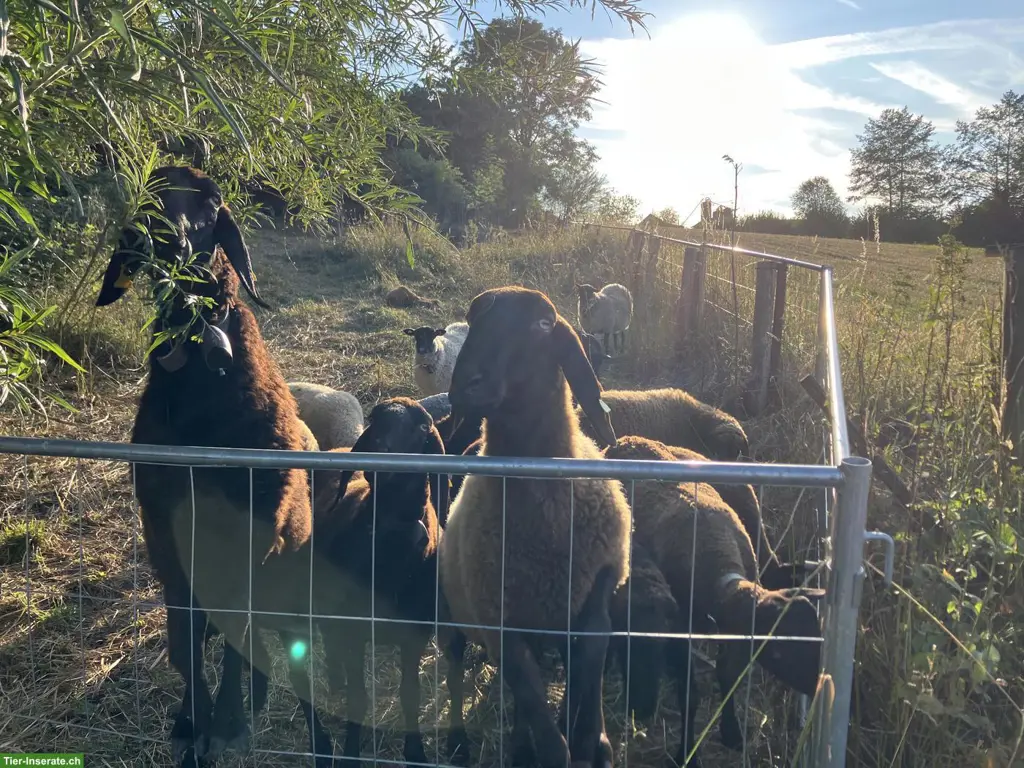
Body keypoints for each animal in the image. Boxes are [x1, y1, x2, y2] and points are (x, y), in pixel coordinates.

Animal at [95, 165, 333, 766]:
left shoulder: (252, 535)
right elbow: (185, 643)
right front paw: (192, 725)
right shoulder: (165, 533)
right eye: (148, 195)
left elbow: (232, 642)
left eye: (212, 204)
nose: (168, 242)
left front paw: (224, 722)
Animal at [310, 397, 448, 766]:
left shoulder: (415, 634)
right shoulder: (355, 629)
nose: (376, 448)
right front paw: (351, 754)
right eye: (374, 418)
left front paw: (416, 752)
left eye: (422, 427)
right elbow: (358, 698)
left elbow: (410, 695)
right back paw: (334, 678)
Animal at [439, 285, 631, 768]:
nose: (467, 385)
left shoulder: (598, 586)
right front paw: (556, 745)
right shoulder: (500, 623)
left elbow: (592, 651)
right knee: (456, 669)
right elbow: (543, 726)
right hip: (456, 610)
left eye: (543, 325)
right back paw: (464, 741)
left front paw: (592, 740)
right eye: (472, 322)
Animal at [603, 436, 824, 764]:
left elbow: (728, 675)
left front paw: (731, 732)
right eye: (778, 653)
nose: (819, 689)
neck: (720, 563)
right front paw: (686, 752)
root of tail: (626, 439)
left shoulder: (735, 633)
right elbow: (690, 693)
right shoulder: (679, 630)